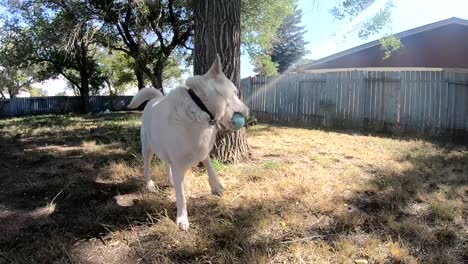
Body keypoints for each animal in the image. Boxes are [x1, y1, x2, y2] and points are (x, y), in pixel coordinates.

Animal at [124, 54, 249, 230]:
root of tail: (156, 99)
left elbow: (209, 165)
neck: (199, 107)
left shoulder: (201, 147)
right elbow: (181, 196)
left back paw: (170, 181)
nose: (247, 112)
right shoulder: (179, 161)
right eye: (236, 92)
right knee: (147, 167)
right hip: (148, 148)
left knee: (166, 164)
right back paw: (150, 184)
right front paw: (182, 219)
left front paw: (216, 185)